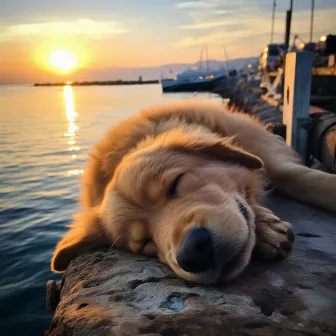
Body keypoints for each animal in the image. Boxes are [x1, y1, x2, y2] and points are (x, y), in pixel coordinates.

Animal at [50, 99, 336, 284]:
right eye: (145, 244)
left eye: (175, 183)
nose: (193, 254)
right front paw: (266, 229)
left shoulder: (271, 159)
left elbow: (308, 179)